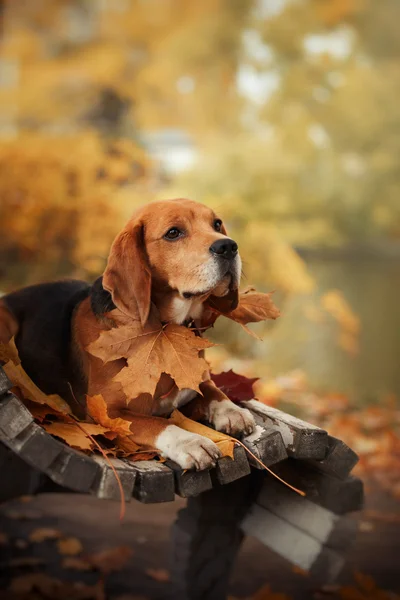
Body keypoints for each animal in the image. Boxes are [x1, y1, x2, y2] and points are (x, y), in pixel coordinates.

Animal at [0, 198, 255, 468]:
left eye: (216, 224)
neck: (165, 327)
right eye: (173, 233)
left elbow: (213, 389)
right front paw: (191, 442)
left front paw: (233, 411)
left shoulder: (196, 380)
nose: (228, 246)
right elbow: (157, 423)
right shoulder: (108, 413)